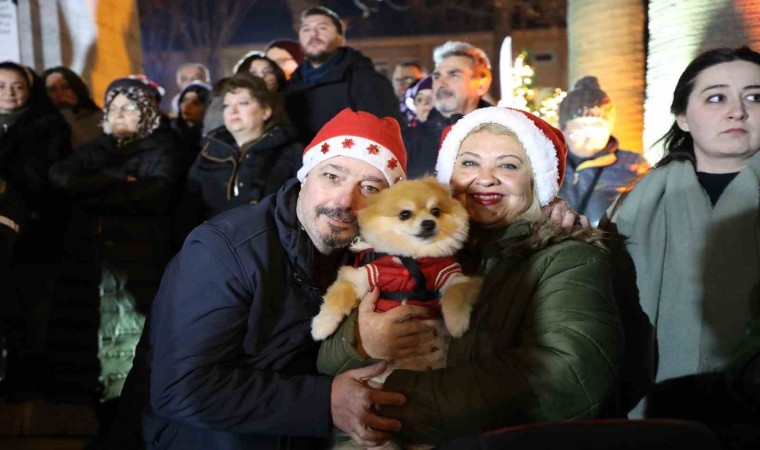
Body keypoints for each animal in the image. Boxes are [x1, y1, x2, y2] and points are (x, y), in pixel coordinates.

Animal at [311, 177, 481, 381]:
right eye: (404, 214)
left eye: (436, 211)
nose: (428, 223)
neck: (411, 257)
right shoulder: (365, 275)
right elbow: (337, 299)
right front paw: (321, 327)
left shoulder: (450, 275)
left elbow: (456, 292)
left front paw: (456, 324)